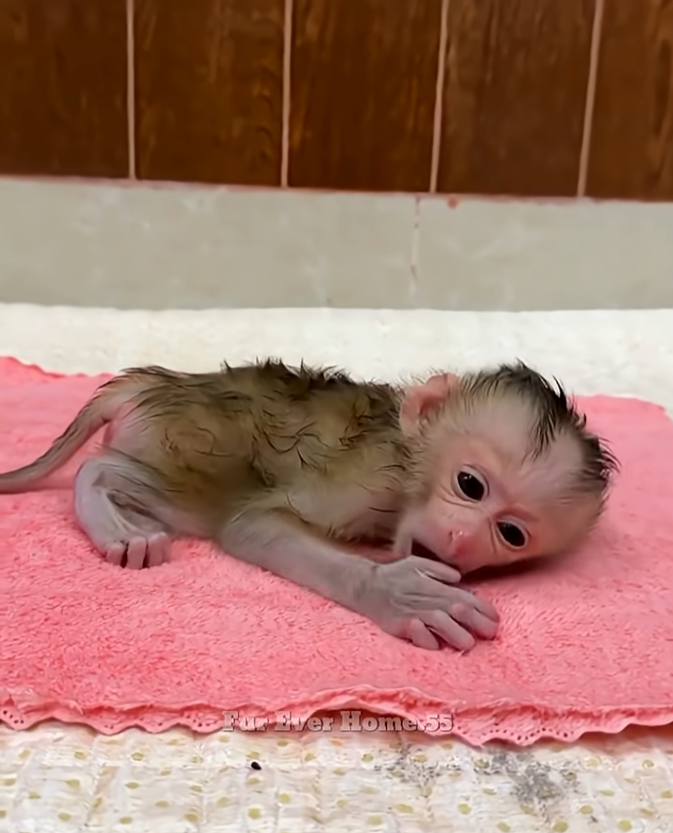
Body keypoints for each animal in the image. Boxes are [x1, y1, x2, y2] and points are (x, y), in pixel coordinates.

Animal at [0, 359, 618, 652]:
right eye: (470, 484)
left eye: (511, 534)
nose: (464, 540)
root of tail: (151, 382)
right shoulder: (367, 480)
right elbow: (249, 525)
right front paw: (394, 592)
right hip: (180, 439)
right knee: (126, 476)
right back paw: (110, 511)